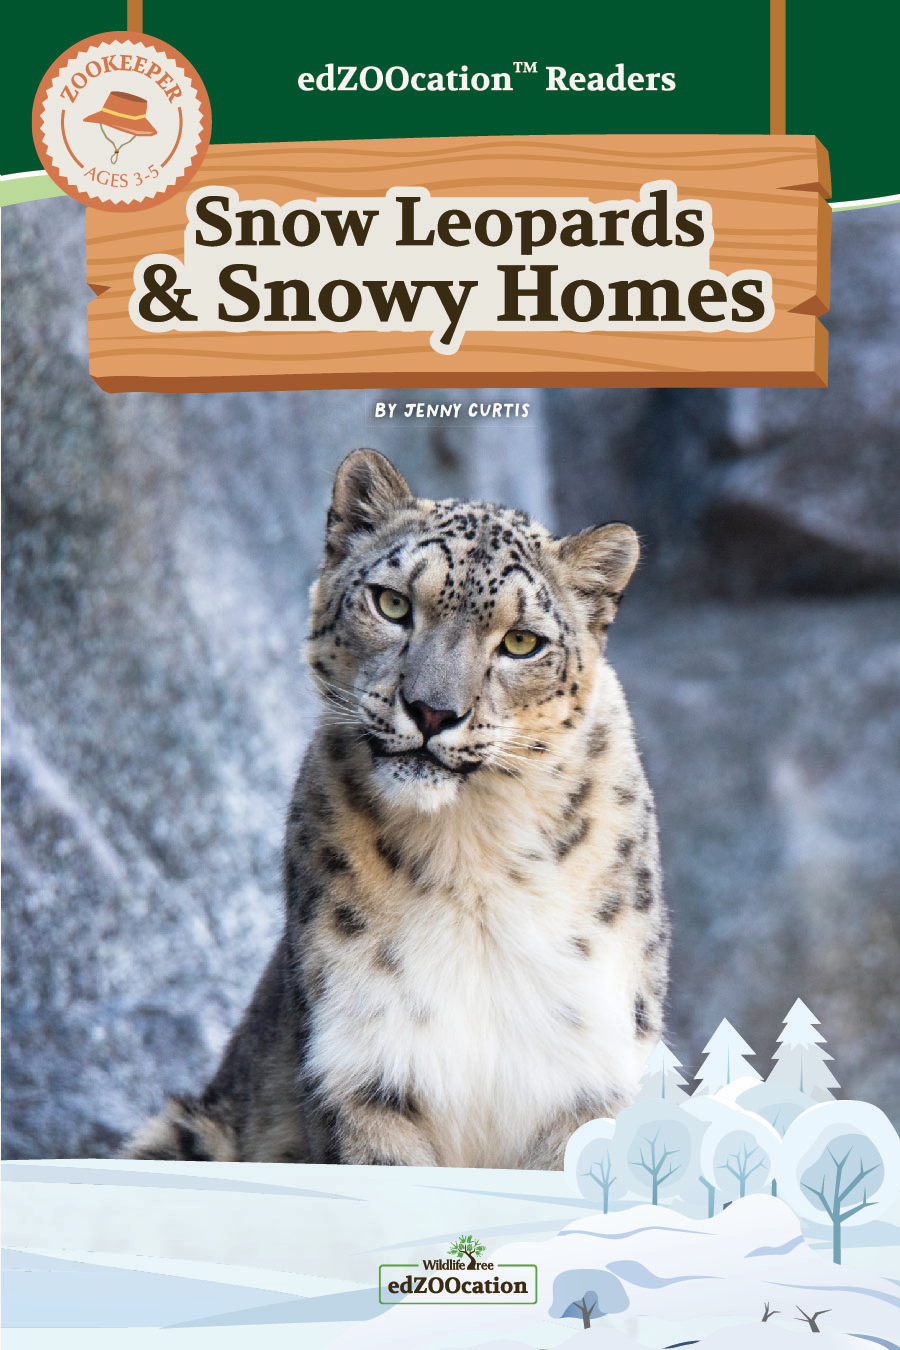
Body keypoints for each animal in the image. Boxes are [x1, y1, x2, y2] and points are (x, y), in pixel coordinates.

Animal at [126, 448, 668, 1168]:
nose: (433, 710)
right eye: (392, 604)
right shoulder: (367, 1066)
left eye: (521, 642)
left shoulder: (586, 1069)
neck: (474, 851)